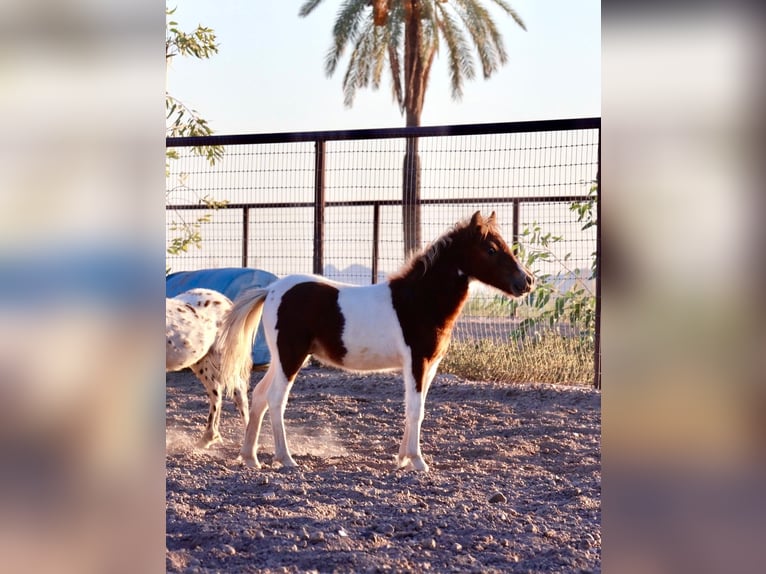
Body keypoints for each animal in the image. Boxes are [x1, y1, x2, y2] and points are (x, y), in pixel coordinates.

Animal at [166, 290, 250, 448]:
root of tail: (226, 301)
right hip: (201, 362)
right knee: (216, 392)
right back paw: (208, 437)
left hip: (223, 359)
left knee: (238, 392)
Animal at [219, 212, 536, 472]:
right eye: (491, 249)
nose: (527, 282)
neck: (419, 300)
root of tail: (271, 289)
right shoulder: (417, 362)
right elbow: (415, 410)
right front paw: (417, 462)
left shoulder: (430, 366)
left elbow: (415, 410)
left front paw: (403, 459)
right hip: (291, 357)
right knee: (275, 399)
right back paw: (286, 459)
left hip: (282, 358)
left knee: (259, 396)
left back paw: (251, 458)